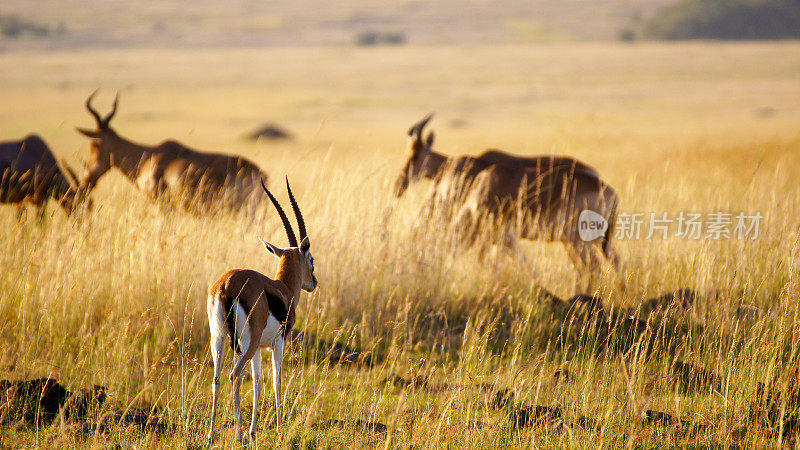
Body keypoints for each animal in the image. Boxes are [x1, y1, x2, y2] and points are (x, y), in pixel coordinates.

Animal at [206, 178, 316, 444]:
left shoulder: (258, 348)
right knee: (234, 376)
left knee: (217, 378)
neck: (282, 289)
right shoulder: (278, 342)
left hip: (220, 339)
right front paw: (278, 426)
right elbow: (276, 379)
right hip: (248, 342)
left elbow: (257, 382)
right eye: (312, 260)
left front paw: (255, 429)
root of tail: (226, 285)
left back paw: (212, 434)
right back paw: (239, 435)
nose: (313, 283)